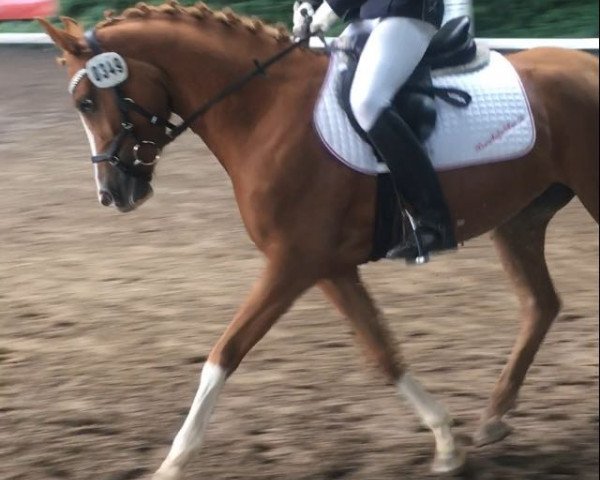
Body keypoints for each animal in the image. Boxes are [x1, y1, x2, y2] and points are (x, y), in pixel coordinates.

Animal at [37, 2, 596, 476]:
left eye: (86, 102)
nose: (113, 193)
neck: (264, 112)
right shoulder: (328, 267)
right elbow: (382, 352)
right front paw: (445, 443)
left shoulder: (292, 264)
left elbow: (225, 353)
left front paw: (174, 462)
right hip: (521, 220)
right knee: (541, 304)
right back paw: (494, 417)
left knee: (543, 303)